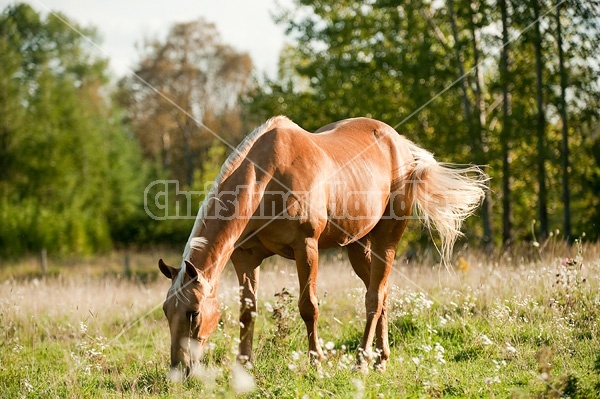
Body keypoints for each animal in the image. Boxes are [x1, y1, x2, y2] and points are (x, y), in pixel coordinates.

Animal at [157, 115, 486, 378]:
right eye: (165, 311)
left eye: (193, 313)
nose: (178, 371)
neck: (266, 178)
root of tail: (401, 144)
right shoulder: (246, 258)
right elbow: (247, 312)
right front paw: (244, 367)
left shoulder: (306, 247)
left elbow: (308, 307)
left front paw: (316, 364)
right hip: (357, 246)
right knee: (382, 293)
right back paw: (381, 360)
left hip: (386, 239)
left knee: (373, 298)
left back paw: (362, 363)